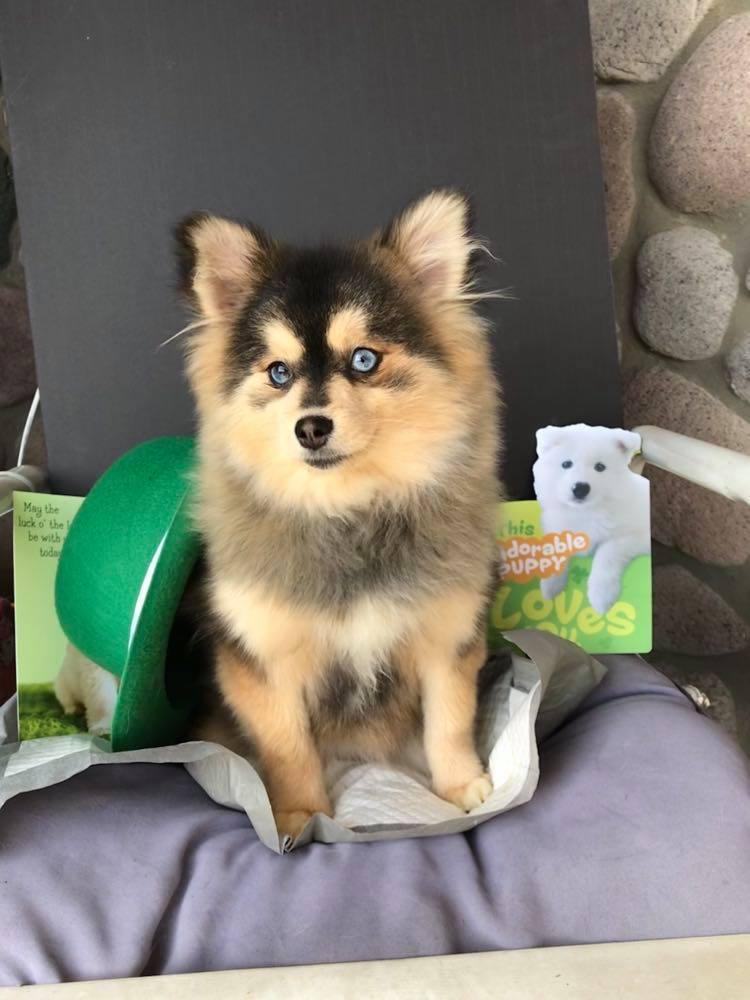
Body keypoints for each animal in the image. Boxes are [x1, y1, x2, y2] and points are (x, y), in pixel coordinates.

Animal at [176, 189, 502, 838]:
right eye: (278, 372)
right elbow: (288, 747)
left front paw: (461, 787)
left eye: (364, 360)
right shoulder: (262, 661)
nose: (311, 427)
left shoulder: (446, 638)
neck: (347, 511)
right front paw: (301, 814)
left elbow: (450, 721)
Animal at [533, 424, 649, 615]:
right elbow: (556, 549)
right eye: (566, 464)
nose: (580, 488)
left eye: (600, 467)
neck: (586, 511)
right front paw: (551, 585)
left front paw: (601, 595)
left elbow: (607, 552)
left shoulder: (638, 536)